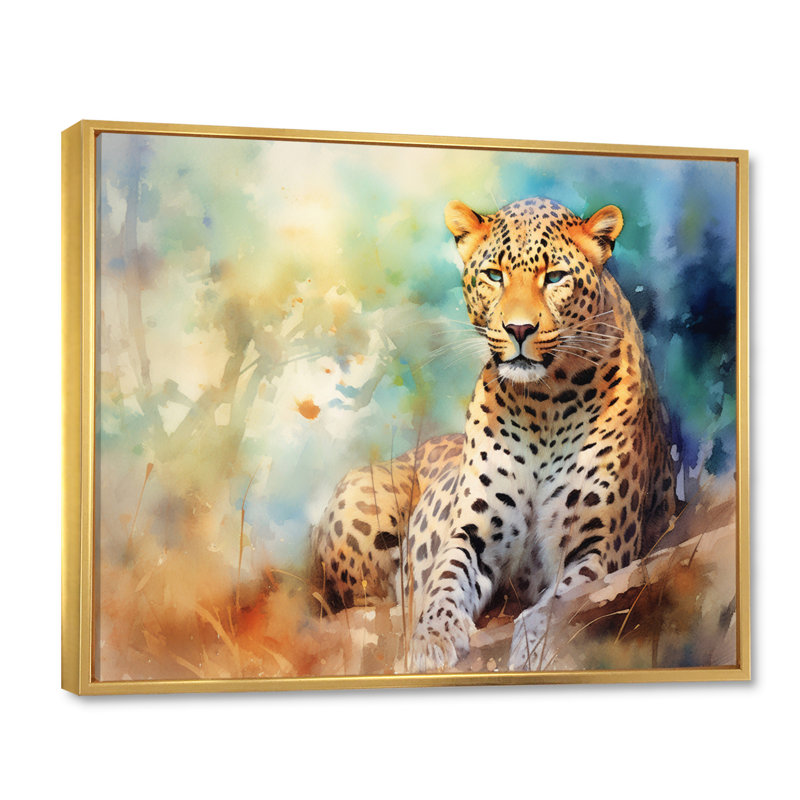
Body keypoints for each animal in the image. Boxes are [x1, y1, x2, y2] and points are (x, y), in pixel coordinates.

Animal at [311, 196, 676, 672]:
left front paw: (535, 642)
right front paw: (432, 639)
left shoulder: (601, 546)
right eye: (494, 275)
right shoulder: (474, 532)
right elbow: (446, 580)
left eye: (554, 277)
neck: (546, 402)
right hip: (360, 498)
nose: (519, 329)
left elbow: (561, 599)